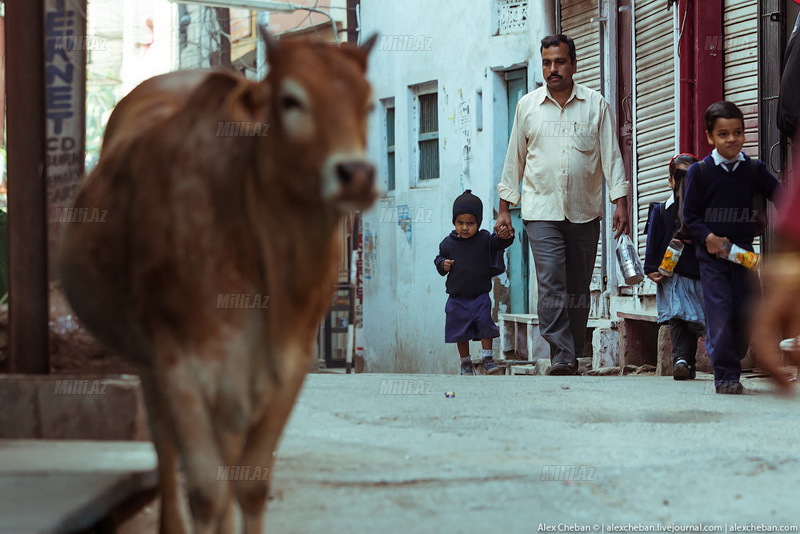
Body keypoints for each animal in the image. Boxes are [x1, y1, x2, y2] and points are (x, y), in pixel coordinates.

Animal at [59, 31, 378, 532]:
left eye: (368, 104)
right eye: (290, 99)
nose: (357, 174)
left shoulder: (289, 365)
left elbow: (250, 485)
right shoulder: (178, 363)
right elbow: (206, 491)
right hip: (148, 363)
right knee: (165, 444)